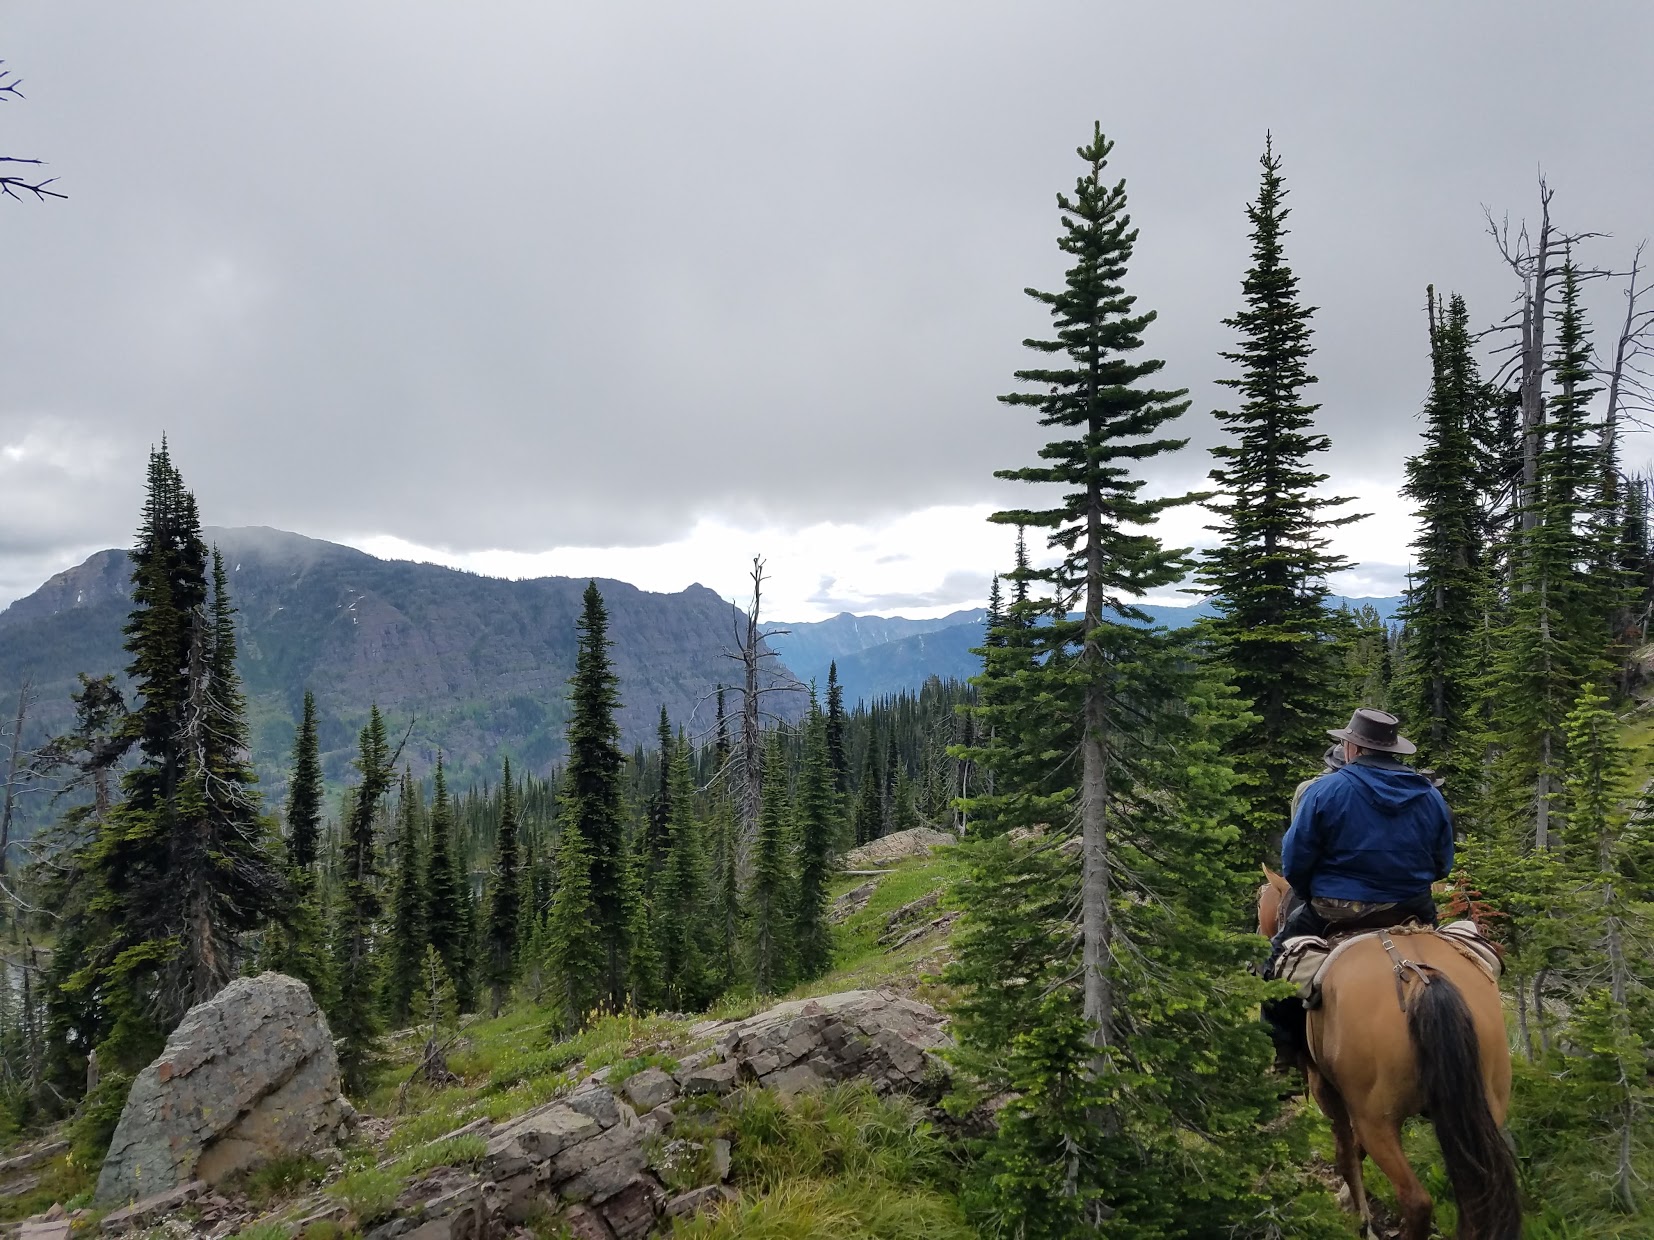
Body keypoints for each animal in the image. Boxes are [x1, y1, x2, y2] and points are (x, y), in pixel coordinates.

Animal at [1257, 866, 1515, 1236]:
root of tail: (1421, 978)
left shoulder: (1326, 1088)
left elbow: (1345, 1154)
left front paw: (1358, 1218)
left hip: (1377, 1118)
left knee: (1416, 1201)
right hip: (1485, 1107)